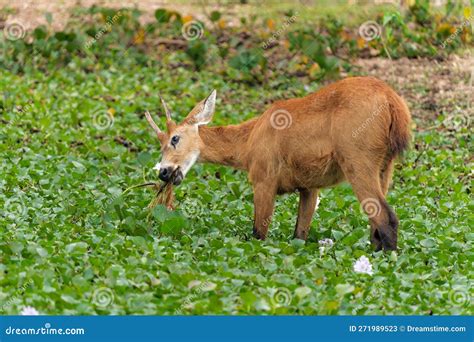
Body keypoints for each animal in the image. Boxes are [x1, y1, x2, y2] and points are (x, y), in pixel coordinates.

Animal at [144, 76, 412, 250]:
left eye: (174, 138)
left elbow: (258, 234)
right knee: (375, 225)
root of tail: (394, 103)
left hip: (358, 160)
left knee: (386, 218)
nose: (164, 172)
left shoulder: (264, 180)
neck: (248, 142)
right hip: (384, 167)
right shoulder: (309, 187)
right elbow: (299, 235)